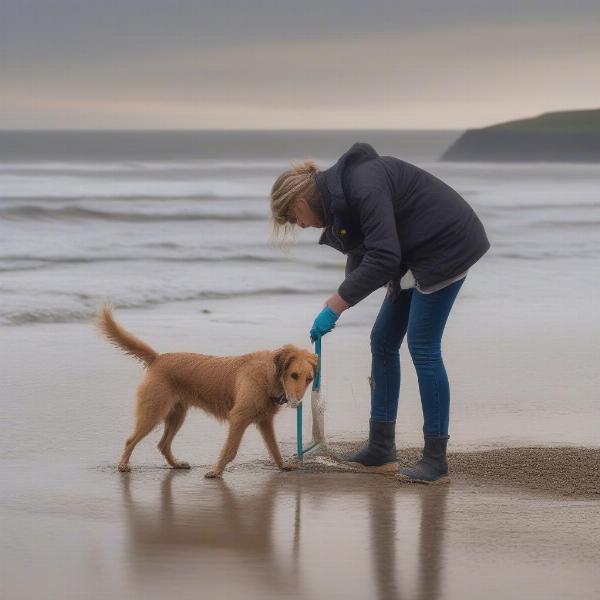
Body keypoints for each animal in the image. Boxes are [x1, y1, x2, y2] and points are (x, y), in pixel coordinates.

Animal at [95, 304, 318, 478]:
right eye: (294, 375)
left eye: (309, 379)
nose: (296, 403)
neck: (267, 375)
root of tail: (158, 358)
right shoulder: (238, 418)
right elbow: (230, 449)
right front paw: (216, 471)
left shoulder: (264, 421)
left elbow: (274, 448)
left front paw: (283, 466)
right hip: (154, 412)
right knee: (131, 440)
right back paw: (123, 465)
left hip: (176, 415)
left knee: (163, 444)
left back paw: (176, 464)